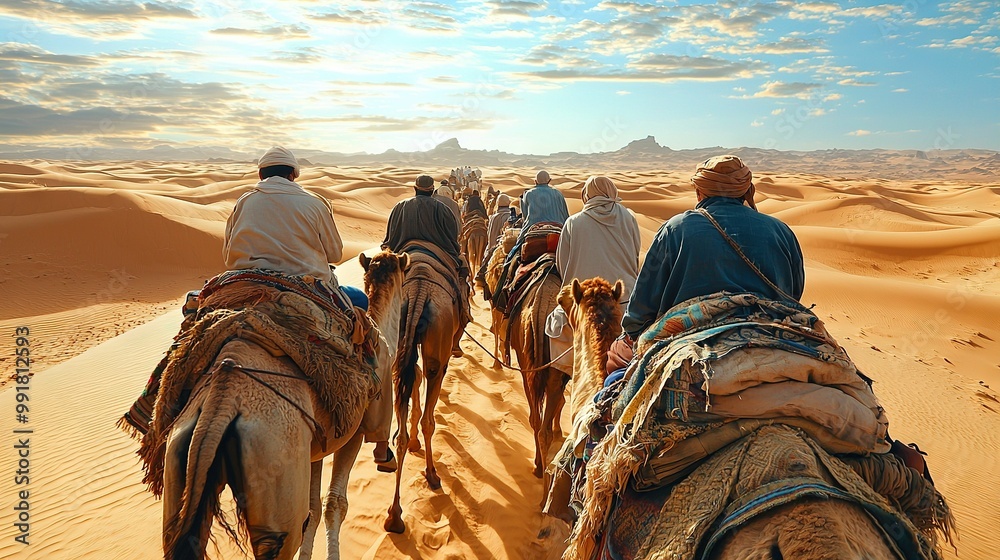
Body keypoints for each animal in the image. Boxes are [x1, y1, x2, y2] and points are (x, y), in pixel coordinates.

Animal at [158, 254, 404, 560]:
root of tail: (219, 406)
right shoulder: (353, 433)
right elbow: (334, 503)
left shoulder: (316, 445)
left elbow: (314, 507)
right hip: (277, 478)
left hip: (178, 468)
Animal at [384, 248, 462, 532]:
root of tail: (418, 292)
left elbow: (413, 379)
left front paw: (413, 440)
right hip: (438, 348)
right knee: (431, 413)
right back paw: (432, 473)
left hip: (397, 335)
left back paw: (394, 515)